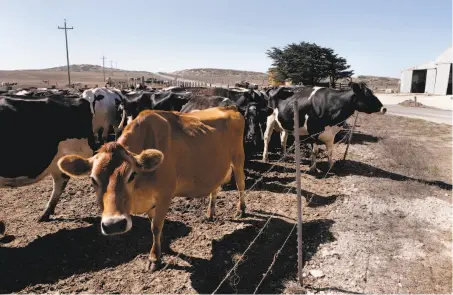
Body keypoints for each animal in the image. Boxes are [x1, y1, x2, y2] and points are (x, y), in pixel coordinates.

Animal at [58, 106, 247, 272]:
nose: (114, 224)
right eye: (93, 179)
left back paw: (241, 209)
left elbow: (156, 226)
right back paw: (211, 213)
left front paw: (154, 258)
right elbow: (154, 225)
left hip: (238, 158)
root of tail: (229, 107)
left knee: (241, 184)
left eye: (131, 175)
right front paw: (162, 247)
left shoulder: (165, 195)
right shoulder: (150, 202)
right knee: (215, 188)